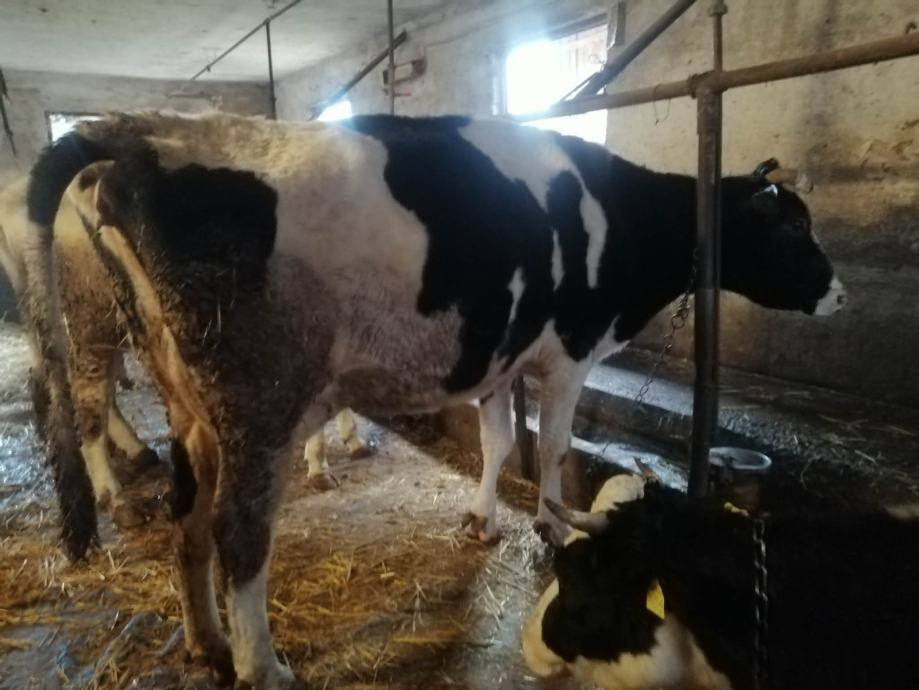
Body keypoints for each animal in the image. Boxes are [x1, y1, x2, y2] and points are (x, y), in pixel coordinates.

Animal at [27, 111, 845, 688]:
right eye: (792, 226)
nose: (840, 294)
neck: (621, 217)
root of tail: (139, 132)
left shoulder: (500, 356)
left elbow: (498, 441)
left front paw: (481, 521)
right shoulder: (568, 351)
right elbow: (550, 447)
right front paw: (551, 525)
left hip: (189, 401)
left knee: (188, 516)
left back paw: (207, 641)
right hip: (259, 401)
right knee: (237, 534)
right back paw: (264, 667)